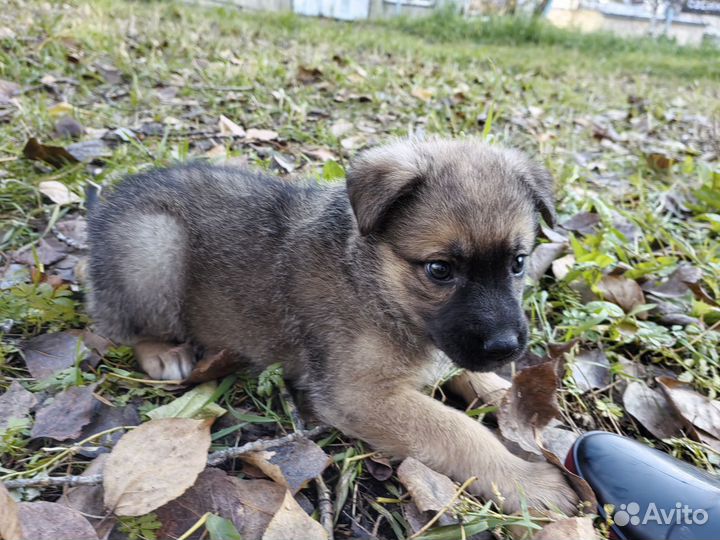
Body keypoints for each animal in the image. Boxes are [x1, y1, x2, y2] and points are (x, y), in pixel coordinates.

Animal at [86, 137, 580, 512]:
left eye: (518, 263)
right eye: (439, 270)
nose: (506, 347)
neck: (371, 280)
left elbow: (482, 382)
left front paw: (534, 414)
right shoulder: (358, 394)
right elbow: (459, 433)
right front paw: (526, 481)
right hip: (155, 245)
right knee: (123, 324)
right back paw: (164, 353)